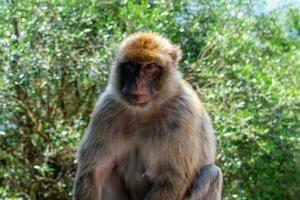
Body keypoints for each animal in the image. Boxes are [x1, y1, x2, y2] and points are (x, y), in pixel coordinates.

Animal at [72, 32, 223, 199]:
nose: (138, 83)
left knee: (211, 173)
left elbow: (172, 179)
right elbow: (93, 172)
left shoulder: (184, 114)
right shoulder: (106, 110)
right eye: (132, 65)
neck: (144, 112)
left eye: (150, 67)